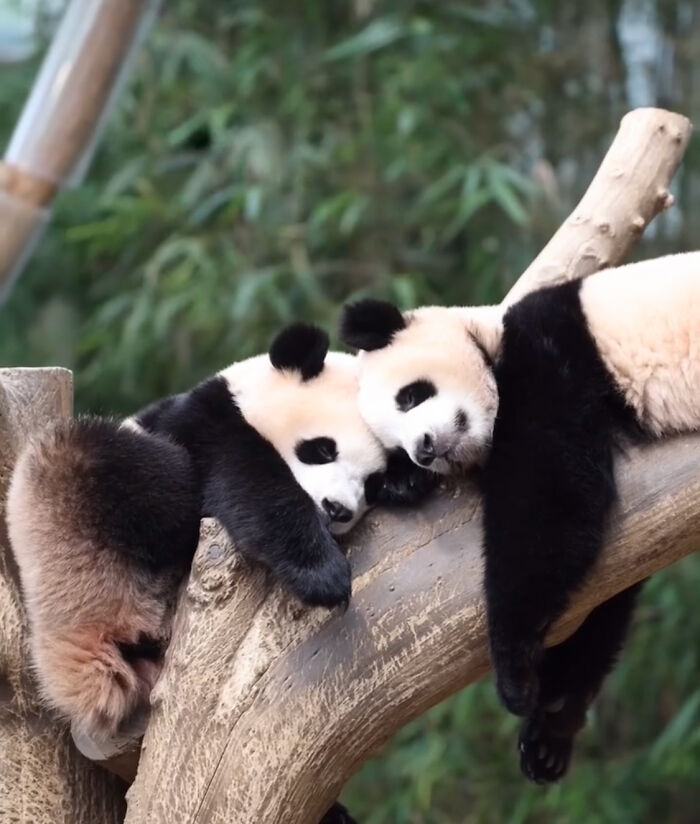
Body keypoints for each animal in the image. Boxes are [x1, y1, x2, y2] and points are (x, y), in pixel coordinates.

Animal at [6, 322, 432, 752]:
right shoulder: (207, 424)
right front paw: (322, 575)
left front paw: (407, 479)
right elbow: (246, 481)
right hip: (65, 513)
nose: (337, 509)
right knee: (112, 457)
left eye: (371, 482)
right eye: (322, 450)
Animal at [340, 253, 700, 784]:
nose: (424, 450)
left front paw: (514, 670)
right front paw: (551, 726)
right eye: (396, 440)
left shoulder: (548, 359)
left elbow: (549, 498)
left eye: (409, 396)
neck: (492, 339)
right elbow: (603, 592)